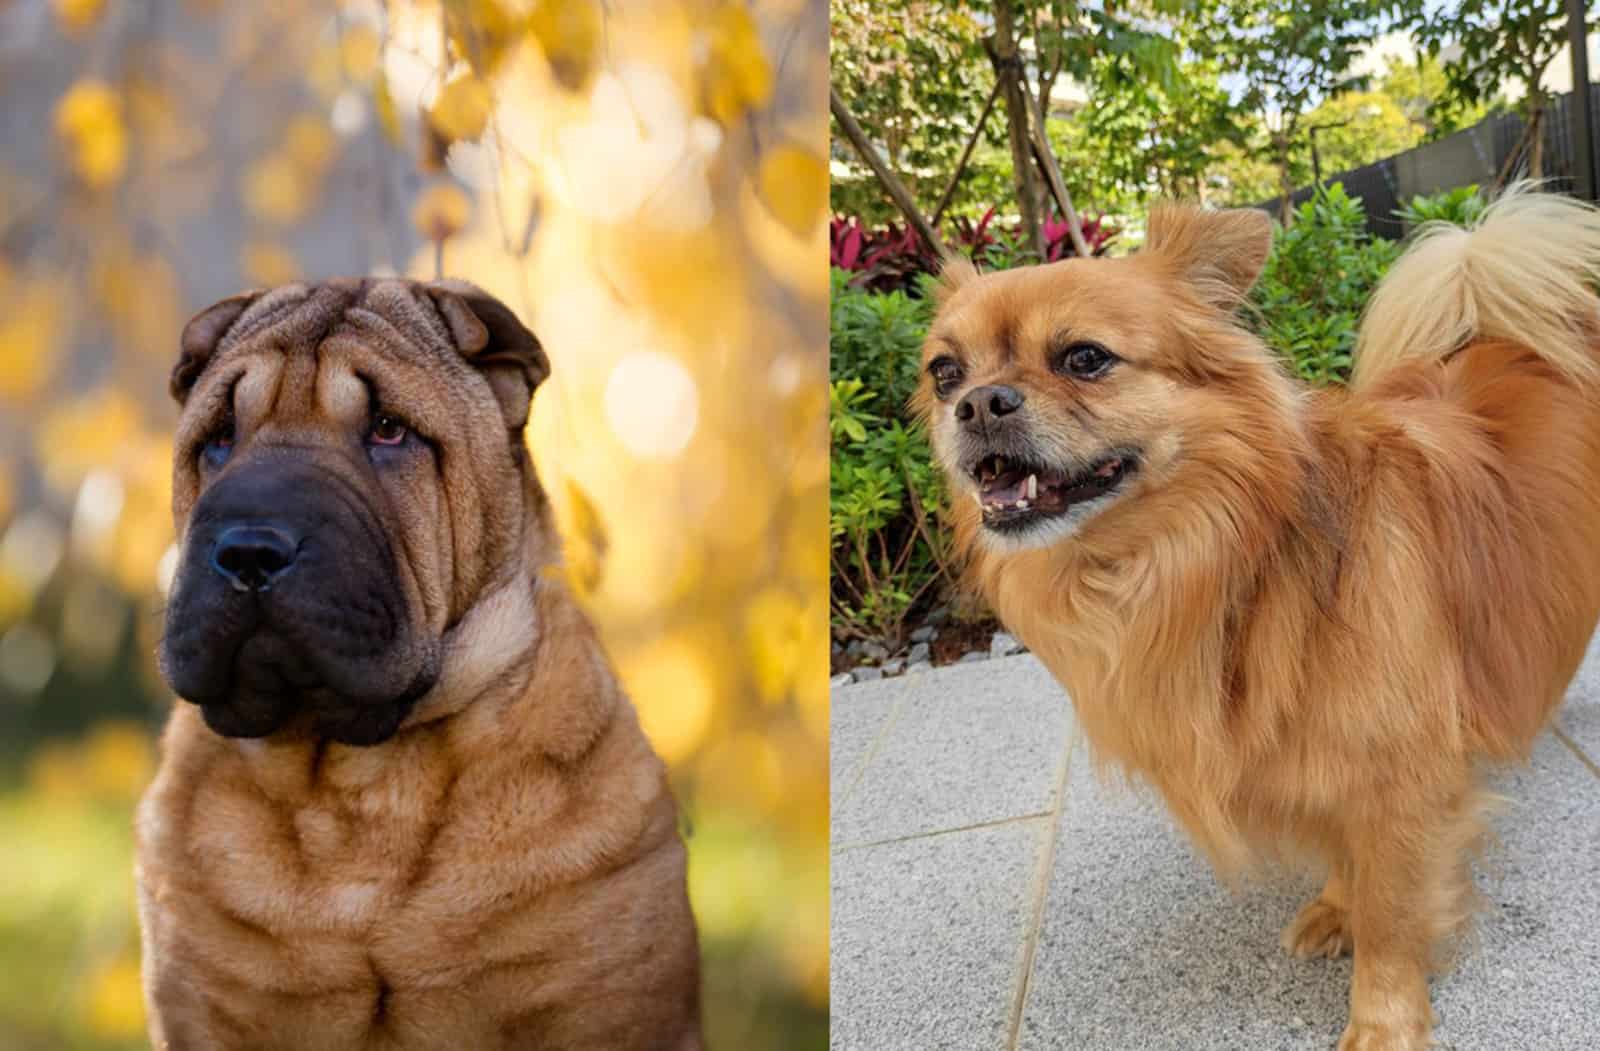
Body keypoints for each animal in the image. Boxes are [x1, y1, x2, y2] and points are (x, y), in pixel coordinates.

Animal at [921, 190, 1600, 1049]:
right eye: (944, 373)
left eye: (1084, 358)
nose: (977, 402)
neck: (1226, 564)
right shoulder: (1329, 767)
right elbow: (1352, 864)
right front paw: (1338, 908)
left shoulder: (1401, 780)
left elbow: (1393, 912)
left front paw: (1383, 1019)